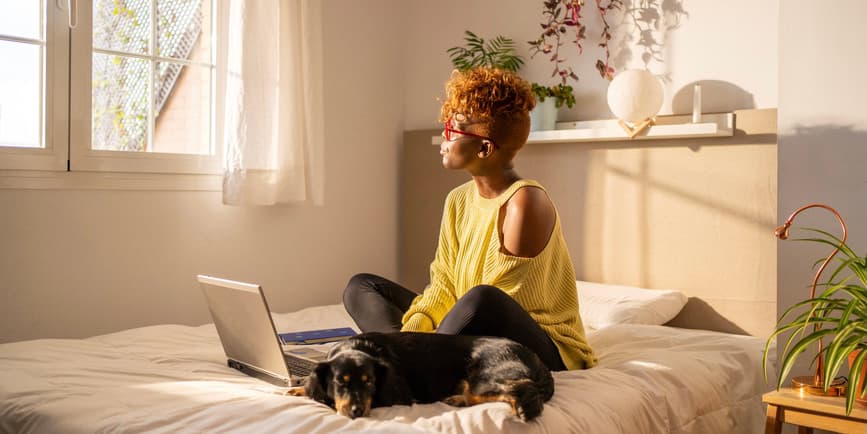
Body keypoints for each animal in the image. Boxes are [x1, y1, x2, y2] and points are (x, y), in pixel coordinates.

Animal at [288, 332, 552, 420]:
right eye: (338, 383)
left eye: (369, 383)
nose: (357, 412)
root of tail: (538, 360)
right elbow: (312, 384)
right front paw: (299, 387)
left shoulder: (398, 396)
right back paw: (457, 399)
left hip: (483, 379)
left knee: (518, 388)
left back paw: (523, 408)